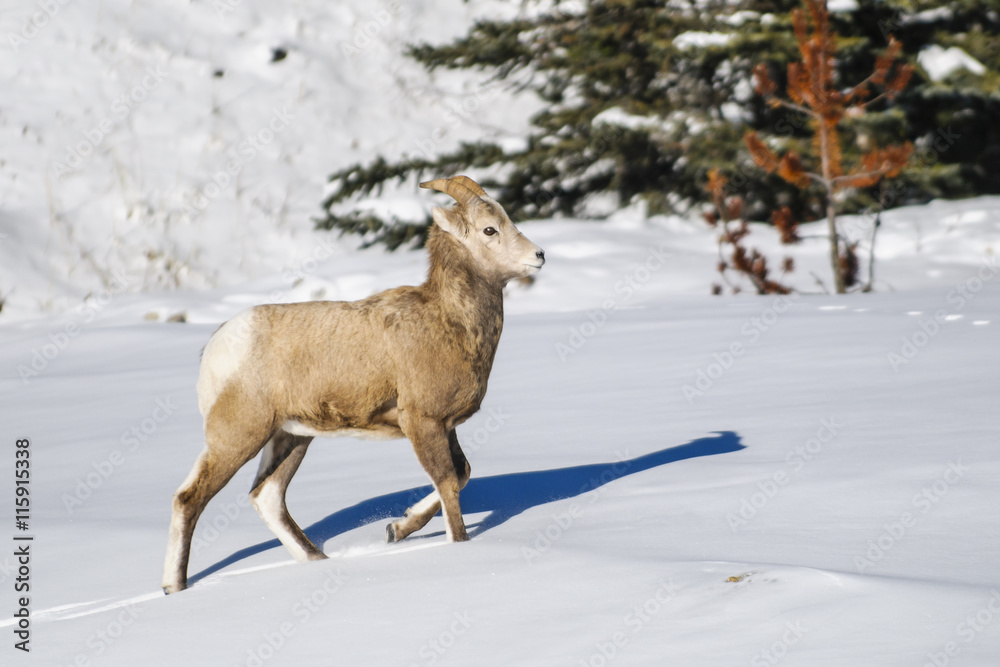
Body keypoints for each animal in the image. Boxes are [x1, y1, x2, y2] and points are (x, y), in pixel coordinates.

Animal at [162, 175, 545, 594]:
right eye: (489, 229)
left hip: (290, 437)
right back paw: (174, 587)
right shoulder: (423, 422)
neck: (451, 324)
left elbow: (462, 475)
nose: (539, 255)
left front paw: (396, 529)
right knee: (189, 499)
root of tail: (217, 345)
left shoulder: (445, 427)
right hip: (238, 436)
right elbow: (447, 483)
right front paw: (457, 544)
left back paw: (317, 560)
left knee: (267, 496)